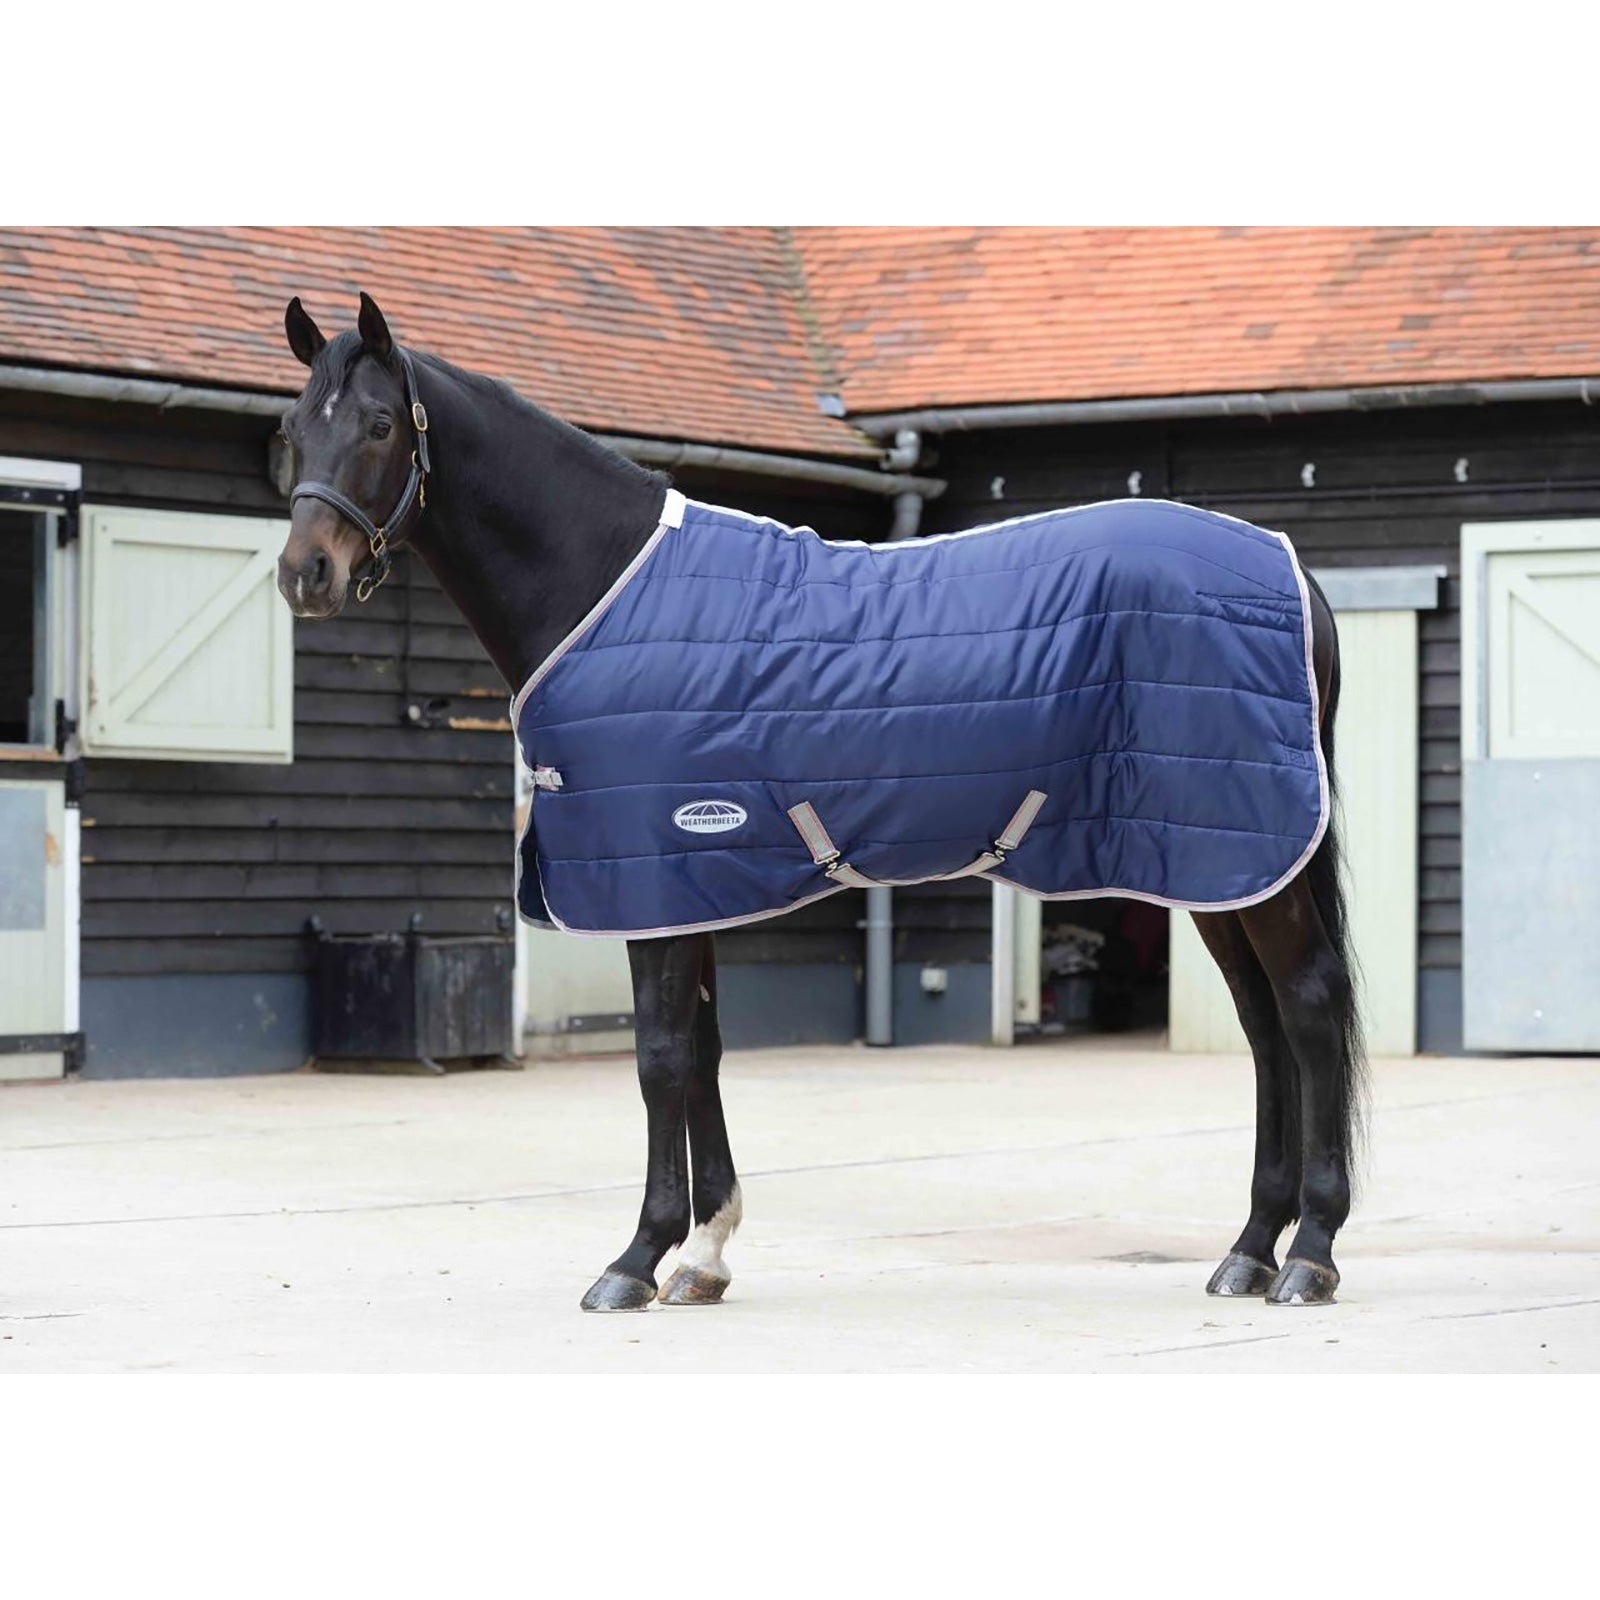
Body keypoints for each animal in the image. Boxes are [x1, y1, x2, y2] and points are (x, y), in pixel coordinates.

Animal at [275, 292, 1365, 1313]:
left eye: (379, 424)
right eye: (292, 427)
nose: (304, 574)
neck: (601, 584)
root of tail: (1293, 571)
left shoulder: (654, 876)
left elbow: (660, 1058)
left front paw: (636, 1259)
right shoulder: (692, 881)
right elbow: (704, 1054)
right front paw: (704, 1254)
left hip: (1248, 857)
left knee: (1308, 1007)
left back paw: (1309, 1253)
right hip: (1217, 858)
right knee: (1263, 1025)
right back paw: (1248, 1248)